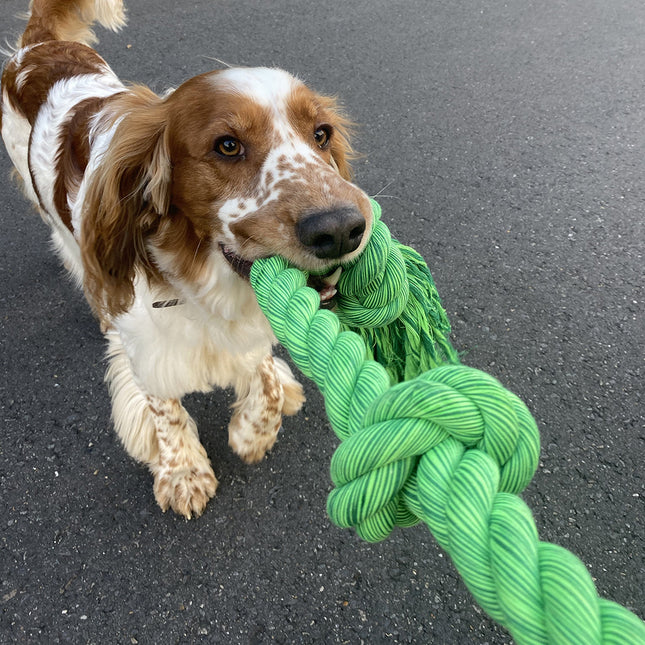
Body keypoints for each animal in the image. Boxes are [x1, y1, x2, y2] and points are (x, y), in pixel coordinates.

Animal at [1, 0, 372, 516]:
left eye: (322, 134)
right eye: (227, 145)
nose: (341, 229)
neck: (207, 282)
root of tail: (38, 47)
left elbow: (263, 373)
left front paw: (254, 431)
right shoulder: (147, 345)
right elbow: (163, 408)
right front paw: (183, 471)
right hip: (55, 220)